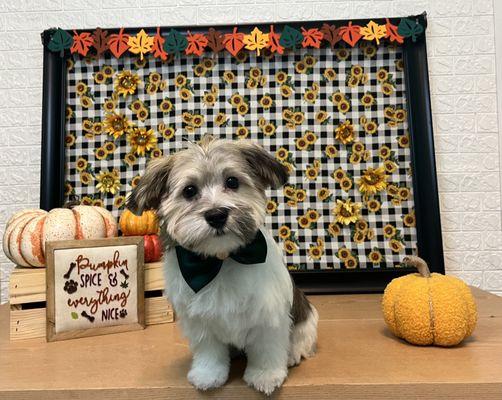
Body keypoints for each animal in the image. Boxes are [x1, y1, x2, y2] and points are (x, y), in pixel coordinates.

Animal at [128, 134, 318, 394]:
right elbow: (209, 352)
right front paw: (208, 375)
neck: (221, 259)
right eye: (189, 191)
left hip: (306, 320)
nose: (216, 215)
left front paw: (266, 375)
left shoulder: (268, 316)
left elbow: (267, 349)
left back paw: (292, 354)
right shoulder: (200, 322)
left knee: (300, 340)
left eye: (232, 181)